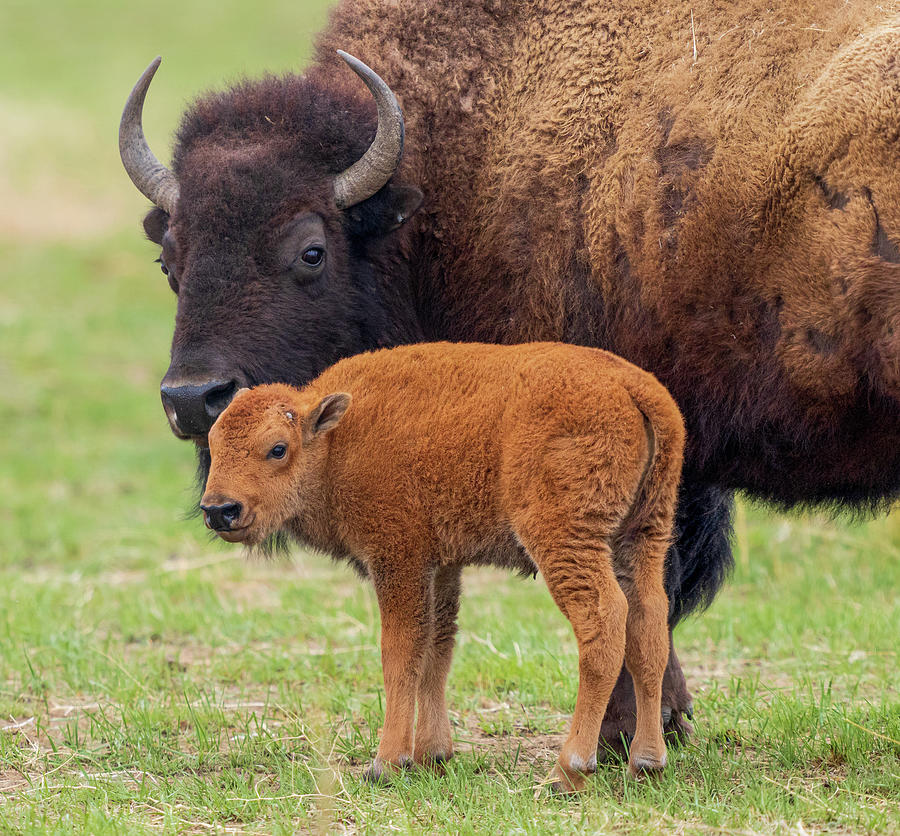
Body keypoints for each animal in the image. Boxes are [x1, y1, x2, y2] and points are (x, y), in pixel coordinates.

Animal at [200, 342, 684, 792]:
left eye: (277, 449)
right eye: (213, 443)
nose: (219, 510)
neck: (335, 439)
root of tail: (633, 387)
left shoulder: (398, 558)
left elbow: (400, 651)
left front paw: (387, 762)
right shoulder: (443, 566)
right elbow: (438, 646)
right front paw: (432, 754)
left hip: (564, 538)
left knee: (602, 623)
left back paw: (569, 769)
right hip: (644, 534)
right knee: (649, 628)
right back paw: (647, 762)